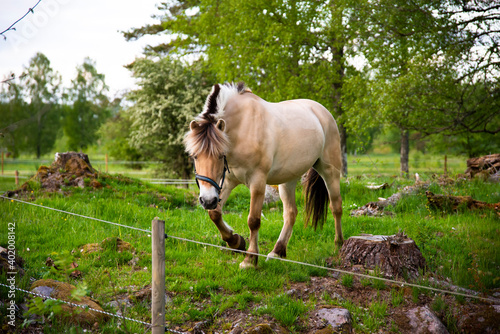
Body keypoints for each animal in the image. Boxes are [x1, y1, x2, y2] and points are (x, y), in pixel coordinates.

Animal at [184, 83, 344, 268]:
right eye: (194, 156)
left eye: (220, 155)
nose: (207, 200)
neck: (242, 128)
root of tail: (323, 112)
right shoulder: (228, 181)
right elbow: (215, 214)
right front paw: (236, 242)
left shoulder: (257, 182)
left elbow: (253, 220)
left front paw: (250, 259)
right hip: (288, 179)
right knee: (291, 213)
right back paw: (277, 252)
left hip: (330, 171)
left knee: (336, 207)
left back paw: (339, 245)